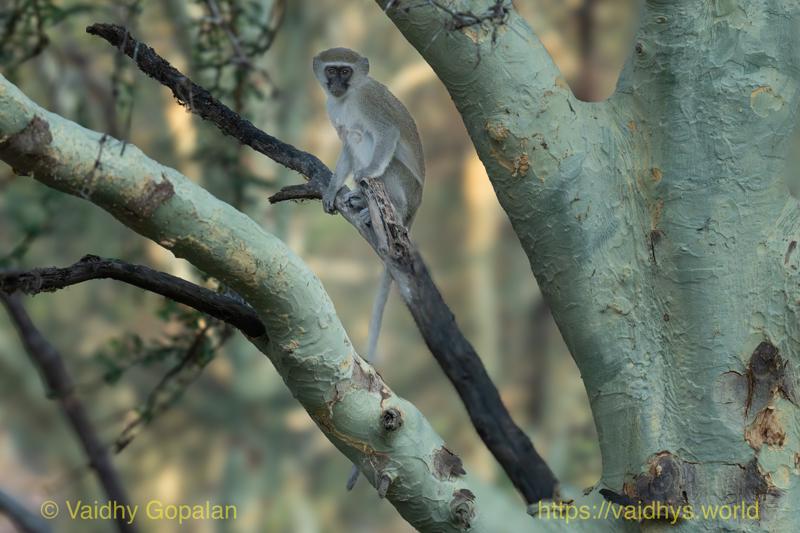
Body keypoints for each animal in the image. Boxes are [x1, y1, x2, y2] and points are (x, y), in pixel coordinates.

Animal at [313, 47, 424, 489]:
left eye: (346, 71)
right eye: (332, 71)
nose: (336, 83)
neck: (347, 99)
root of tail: (410, 213)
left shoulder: (370, 104)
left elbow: (386, 135)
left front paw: (363, 175)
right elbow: (345, 146)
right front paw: (331, 189)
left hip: (402, 189)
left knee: (371, 141)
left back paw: (363, 197)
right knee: (354, 137)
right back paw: (357, 200)